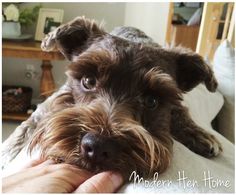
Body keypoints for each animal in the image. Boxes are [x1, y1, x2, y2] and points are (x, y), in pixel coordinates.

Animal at [2, 16, 222, 181]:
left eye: (152, 101)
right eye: (88, 80)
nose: (98, 146)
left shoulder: (174, 105)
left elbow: (180, 113)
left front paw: (201, 134)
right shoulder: (43, 111)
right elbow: (19, 135)